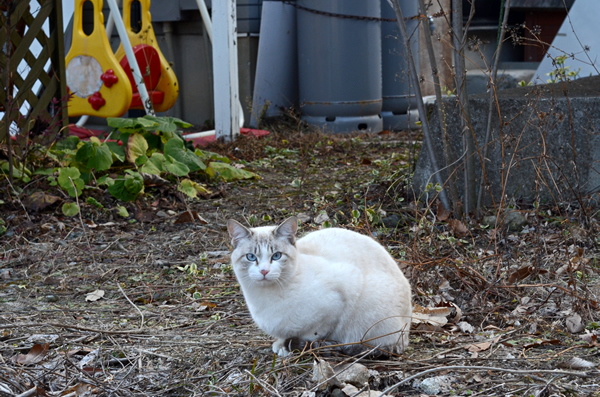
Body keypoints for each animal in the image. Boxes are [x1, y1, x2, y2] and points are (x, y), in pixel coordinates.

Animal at [226, 217, 412, 356]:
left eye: (277, 256)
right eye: (251, 257)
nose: (264, 271)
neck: (264, 298)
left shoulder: (337, 301)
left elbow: (312, 334)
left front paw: (288, 346)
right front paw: (280, 345)